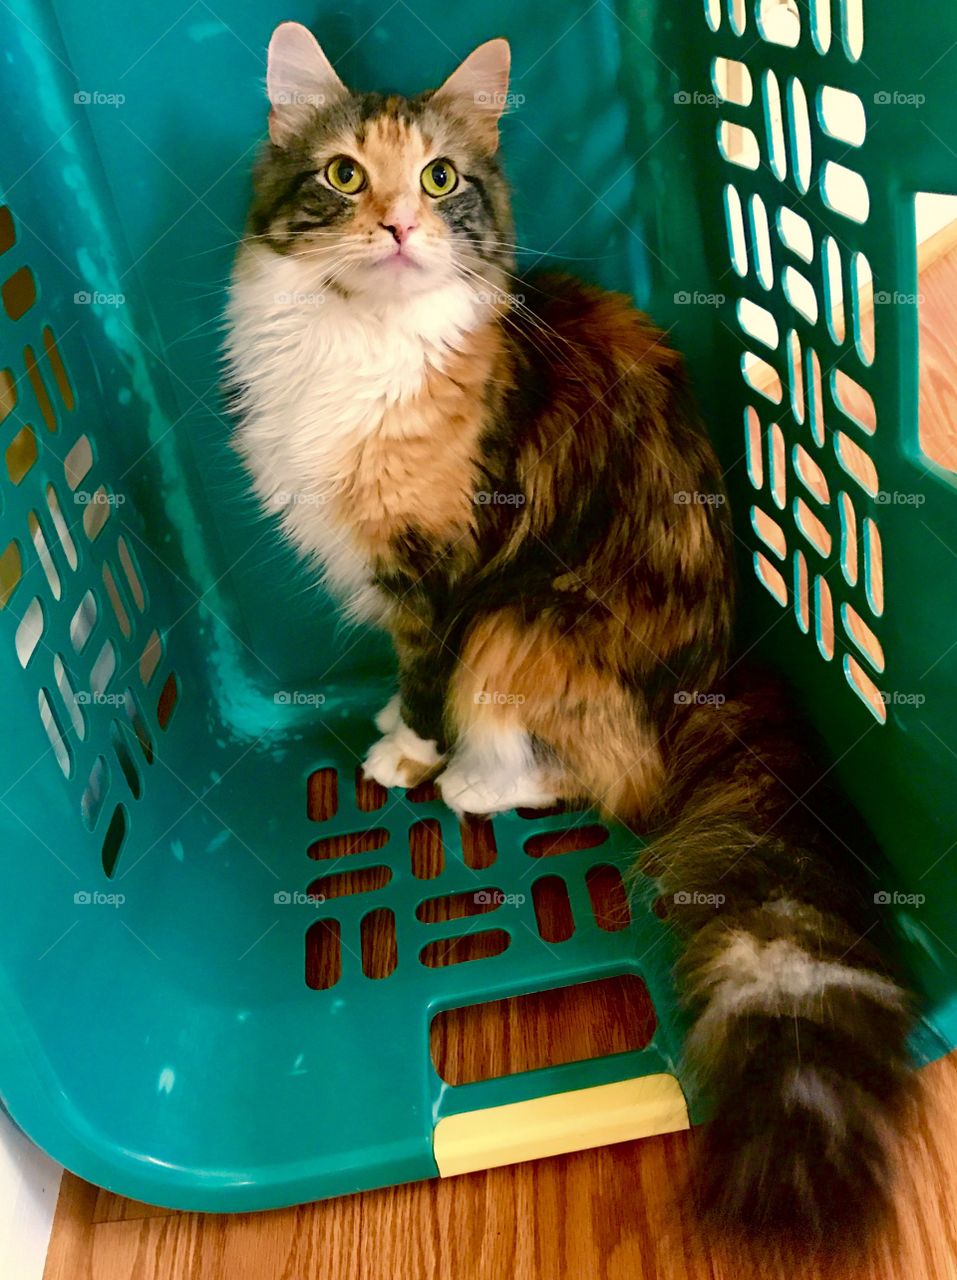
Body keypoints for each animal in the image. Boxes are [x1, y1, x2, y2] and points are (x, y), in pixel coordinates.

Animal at [227, 20, 916, 1239]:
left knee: (593, 777)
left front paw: (405, 753)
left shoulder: (445, 575)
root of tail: (722, 668)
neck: (363, 337)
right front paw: (389, 727)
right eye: (346, 176)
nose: (398, 225)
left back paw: (472, 782)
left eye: (439, 179)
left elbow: (424, 677)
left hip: (526, 619)